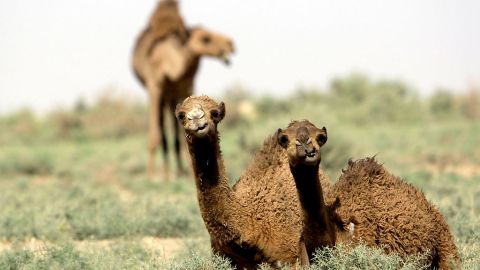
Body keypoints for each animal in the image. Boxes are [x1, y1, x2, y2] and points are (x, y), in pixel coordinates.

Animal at [132, 0, 235, 177]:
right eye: (205, 39)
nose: (230, 44)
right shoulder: (154, 87)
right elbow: (154, 135)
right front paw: (150, 176)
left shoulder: (186, 87)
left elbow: (183, 131)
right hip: (163, 96)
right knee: (162, 130)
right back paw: (166, 174)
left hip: (171, 96)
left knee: (173, 133)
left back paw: (178, 171)